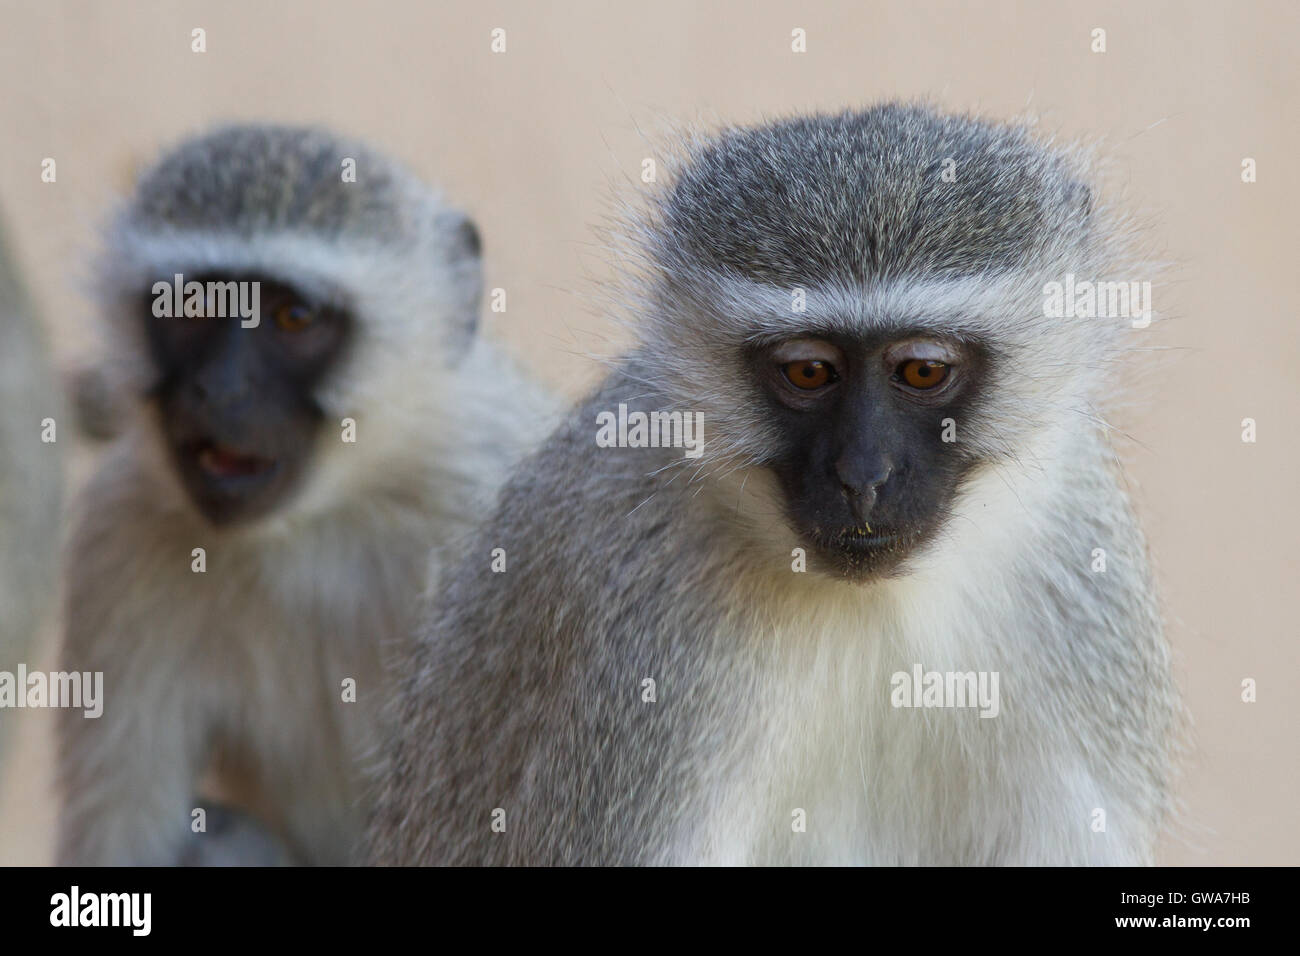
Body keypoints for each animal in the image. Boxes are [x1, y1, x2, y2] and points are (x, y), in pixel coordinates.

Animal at [370, 104, 1179, 866]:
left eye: (922, 371)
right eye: (809, 371)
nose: (863, 477)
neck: (878, 606)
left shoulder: (1083, 567)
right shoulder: (645, 650)